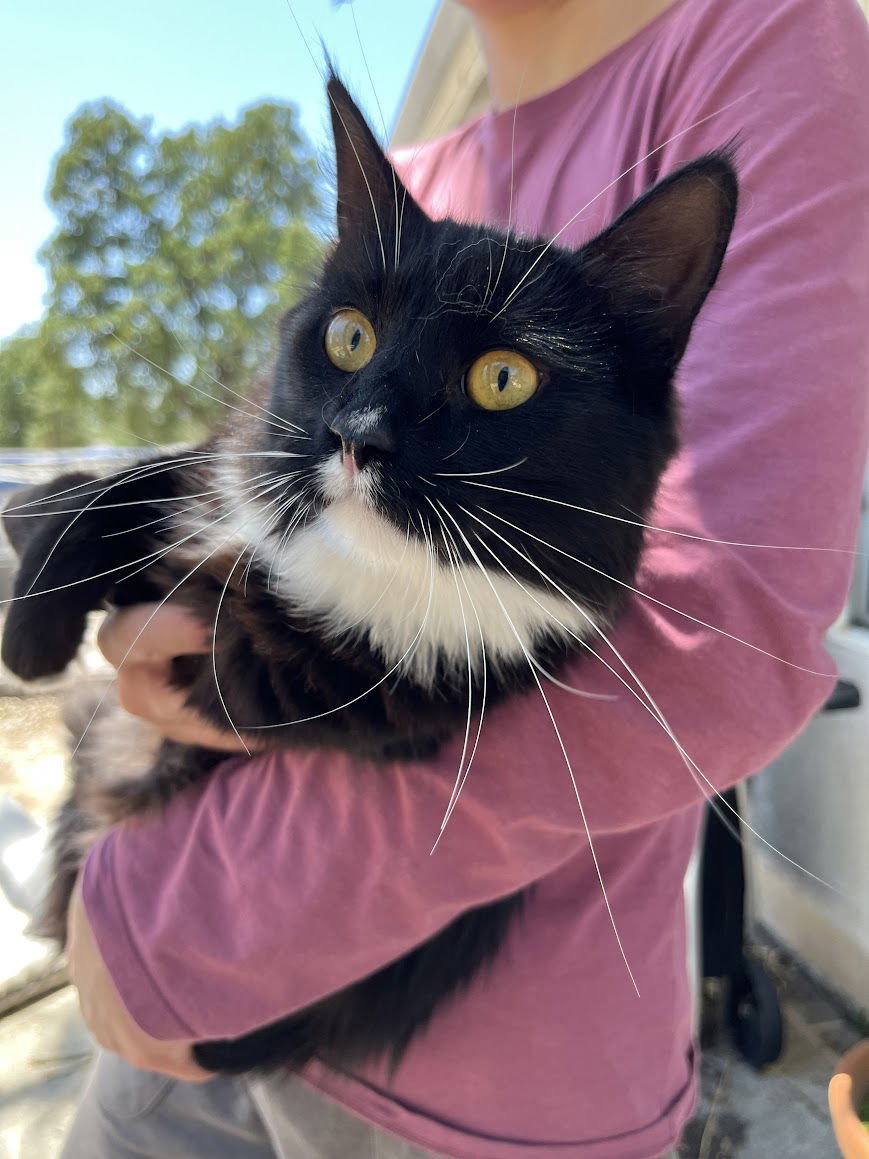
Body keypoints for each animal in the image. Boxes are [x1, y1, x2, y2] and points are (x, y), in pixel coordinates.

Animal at [0, 74, 741, 1075]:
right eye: (348, 337)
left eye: (503, 378)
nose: (358, 433)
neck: (359, 574)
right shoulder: (240, 462)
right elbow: (141, 480)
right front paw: (34, 627)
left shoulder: (339, 681)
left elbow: (237, 637)